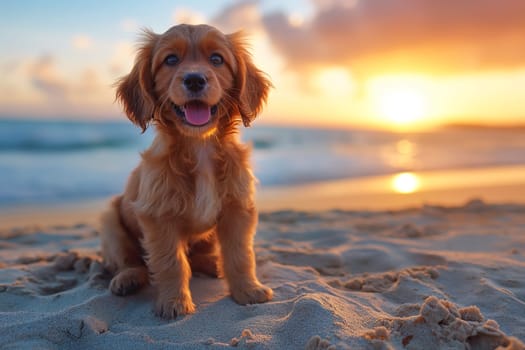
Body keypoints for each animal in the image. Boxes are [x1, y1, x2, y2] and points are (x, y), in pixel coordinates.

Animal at [101, 23, 274, 318]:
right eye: (171, 60)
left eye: (216, 59)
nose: (194, 80)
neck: (199, 146)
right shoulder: (158, 216)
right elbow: (171, 263)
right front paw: (175, 302)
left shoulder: (237, 208)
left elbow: (240, 255)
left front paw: (248, 290)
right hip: (110, 220)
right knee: (130, 260)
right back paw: (128, 278)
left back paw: (213, 264)